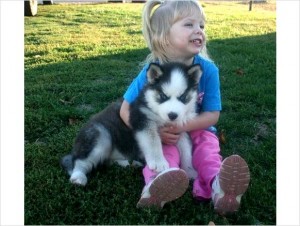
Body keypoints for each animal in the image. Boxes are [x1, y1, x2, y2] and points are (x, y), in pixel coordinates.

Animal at [60, 62, 202, 186]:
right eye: (163, 96)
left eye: (183, 97)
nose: (173, 115)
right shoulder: (141, 119)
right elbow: (152, 140)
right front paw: (158, 162)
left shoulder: (180, 130)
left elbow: (187, 150)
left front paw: (190, 171)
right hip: (100, 136)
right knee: (79, 161)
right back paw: (78, 177)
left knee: (107, 161)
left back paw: (129, 163)